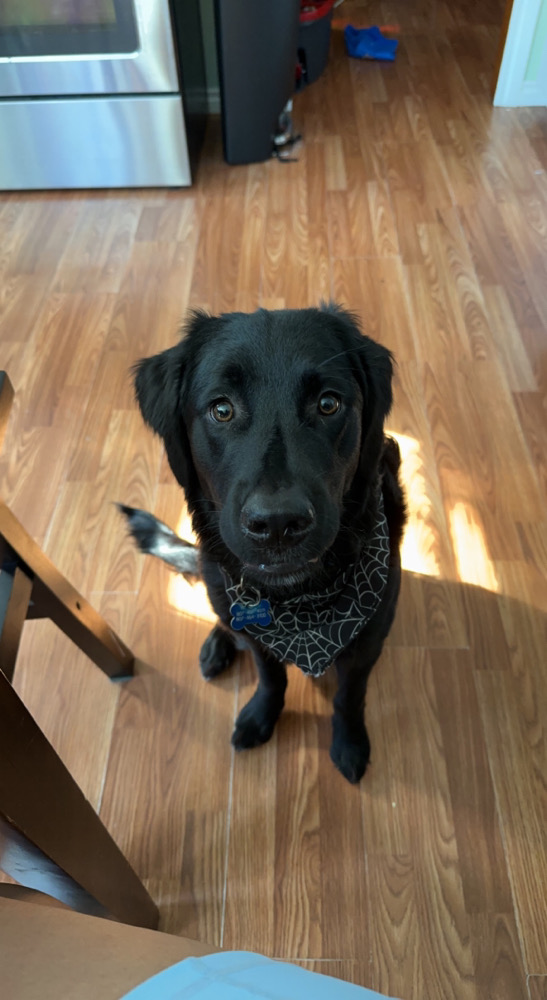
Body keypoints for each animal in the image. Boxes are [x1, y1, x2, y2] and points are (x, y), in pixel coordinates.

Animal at [121, 305, 406, 783]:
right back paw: (217, 645)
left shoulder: (368, 641)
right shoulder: (258, 636)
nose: (277, 524)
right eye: (222, 409)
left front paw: (349, 743)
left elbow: (349, 696)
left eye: (328, 403)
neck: (300, 604)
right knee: (223, 616)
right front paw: (260, 716)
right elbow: (270, 677)